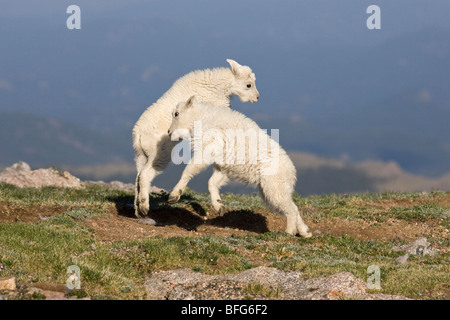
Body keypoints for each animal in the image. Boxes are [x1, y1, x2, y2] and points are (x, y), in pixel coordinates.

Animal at [133, 59, 260, 219]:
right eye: (249, 84)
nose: (257, 97)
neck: (217, 86)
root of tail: (138, 135)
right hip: (159, 153)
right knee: (145, 174)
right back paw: (144, 206)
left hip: (141, 156)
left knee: (138, 177)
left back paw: (138, 211)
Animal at [168, 95, 312, 238]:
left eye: (176, 113)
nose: (169, 132)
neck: (202, 118)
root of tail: (291, 172)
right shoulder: (223, 167)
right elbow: (212, 182)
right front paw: (218, 206)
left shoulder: (209, 146)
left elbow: (189, 170)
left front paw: (174, 196)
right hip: (274, 188)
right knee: (292, 206)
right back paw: (305, 232)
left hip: (274, 186)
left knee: (291, 209)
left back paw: (288, 232)